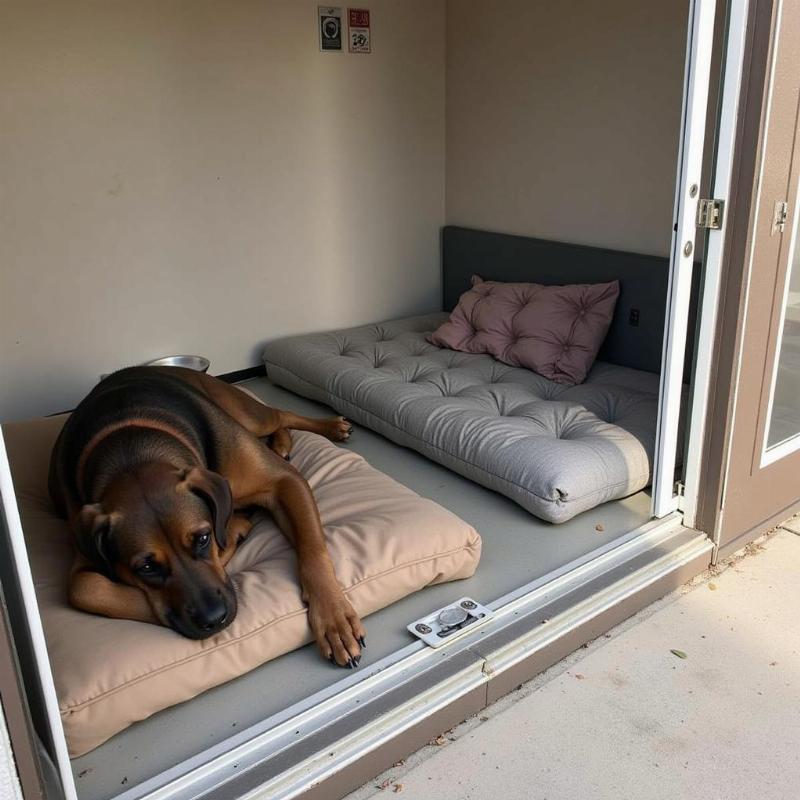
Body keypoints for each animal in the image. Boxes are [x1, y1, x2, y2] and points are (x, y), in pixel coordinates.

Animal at [51, 368, 370, 668]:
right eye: (146, 567)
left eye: (203, 538)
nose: (214, 618)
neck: (131, 453)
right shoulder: (85, 552)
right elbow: (85, 588)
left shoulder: (286, 483)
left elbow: (313, 549)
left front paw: (333, 616)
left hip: (246, 413)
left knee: (280, 415)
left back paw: (326, 428)